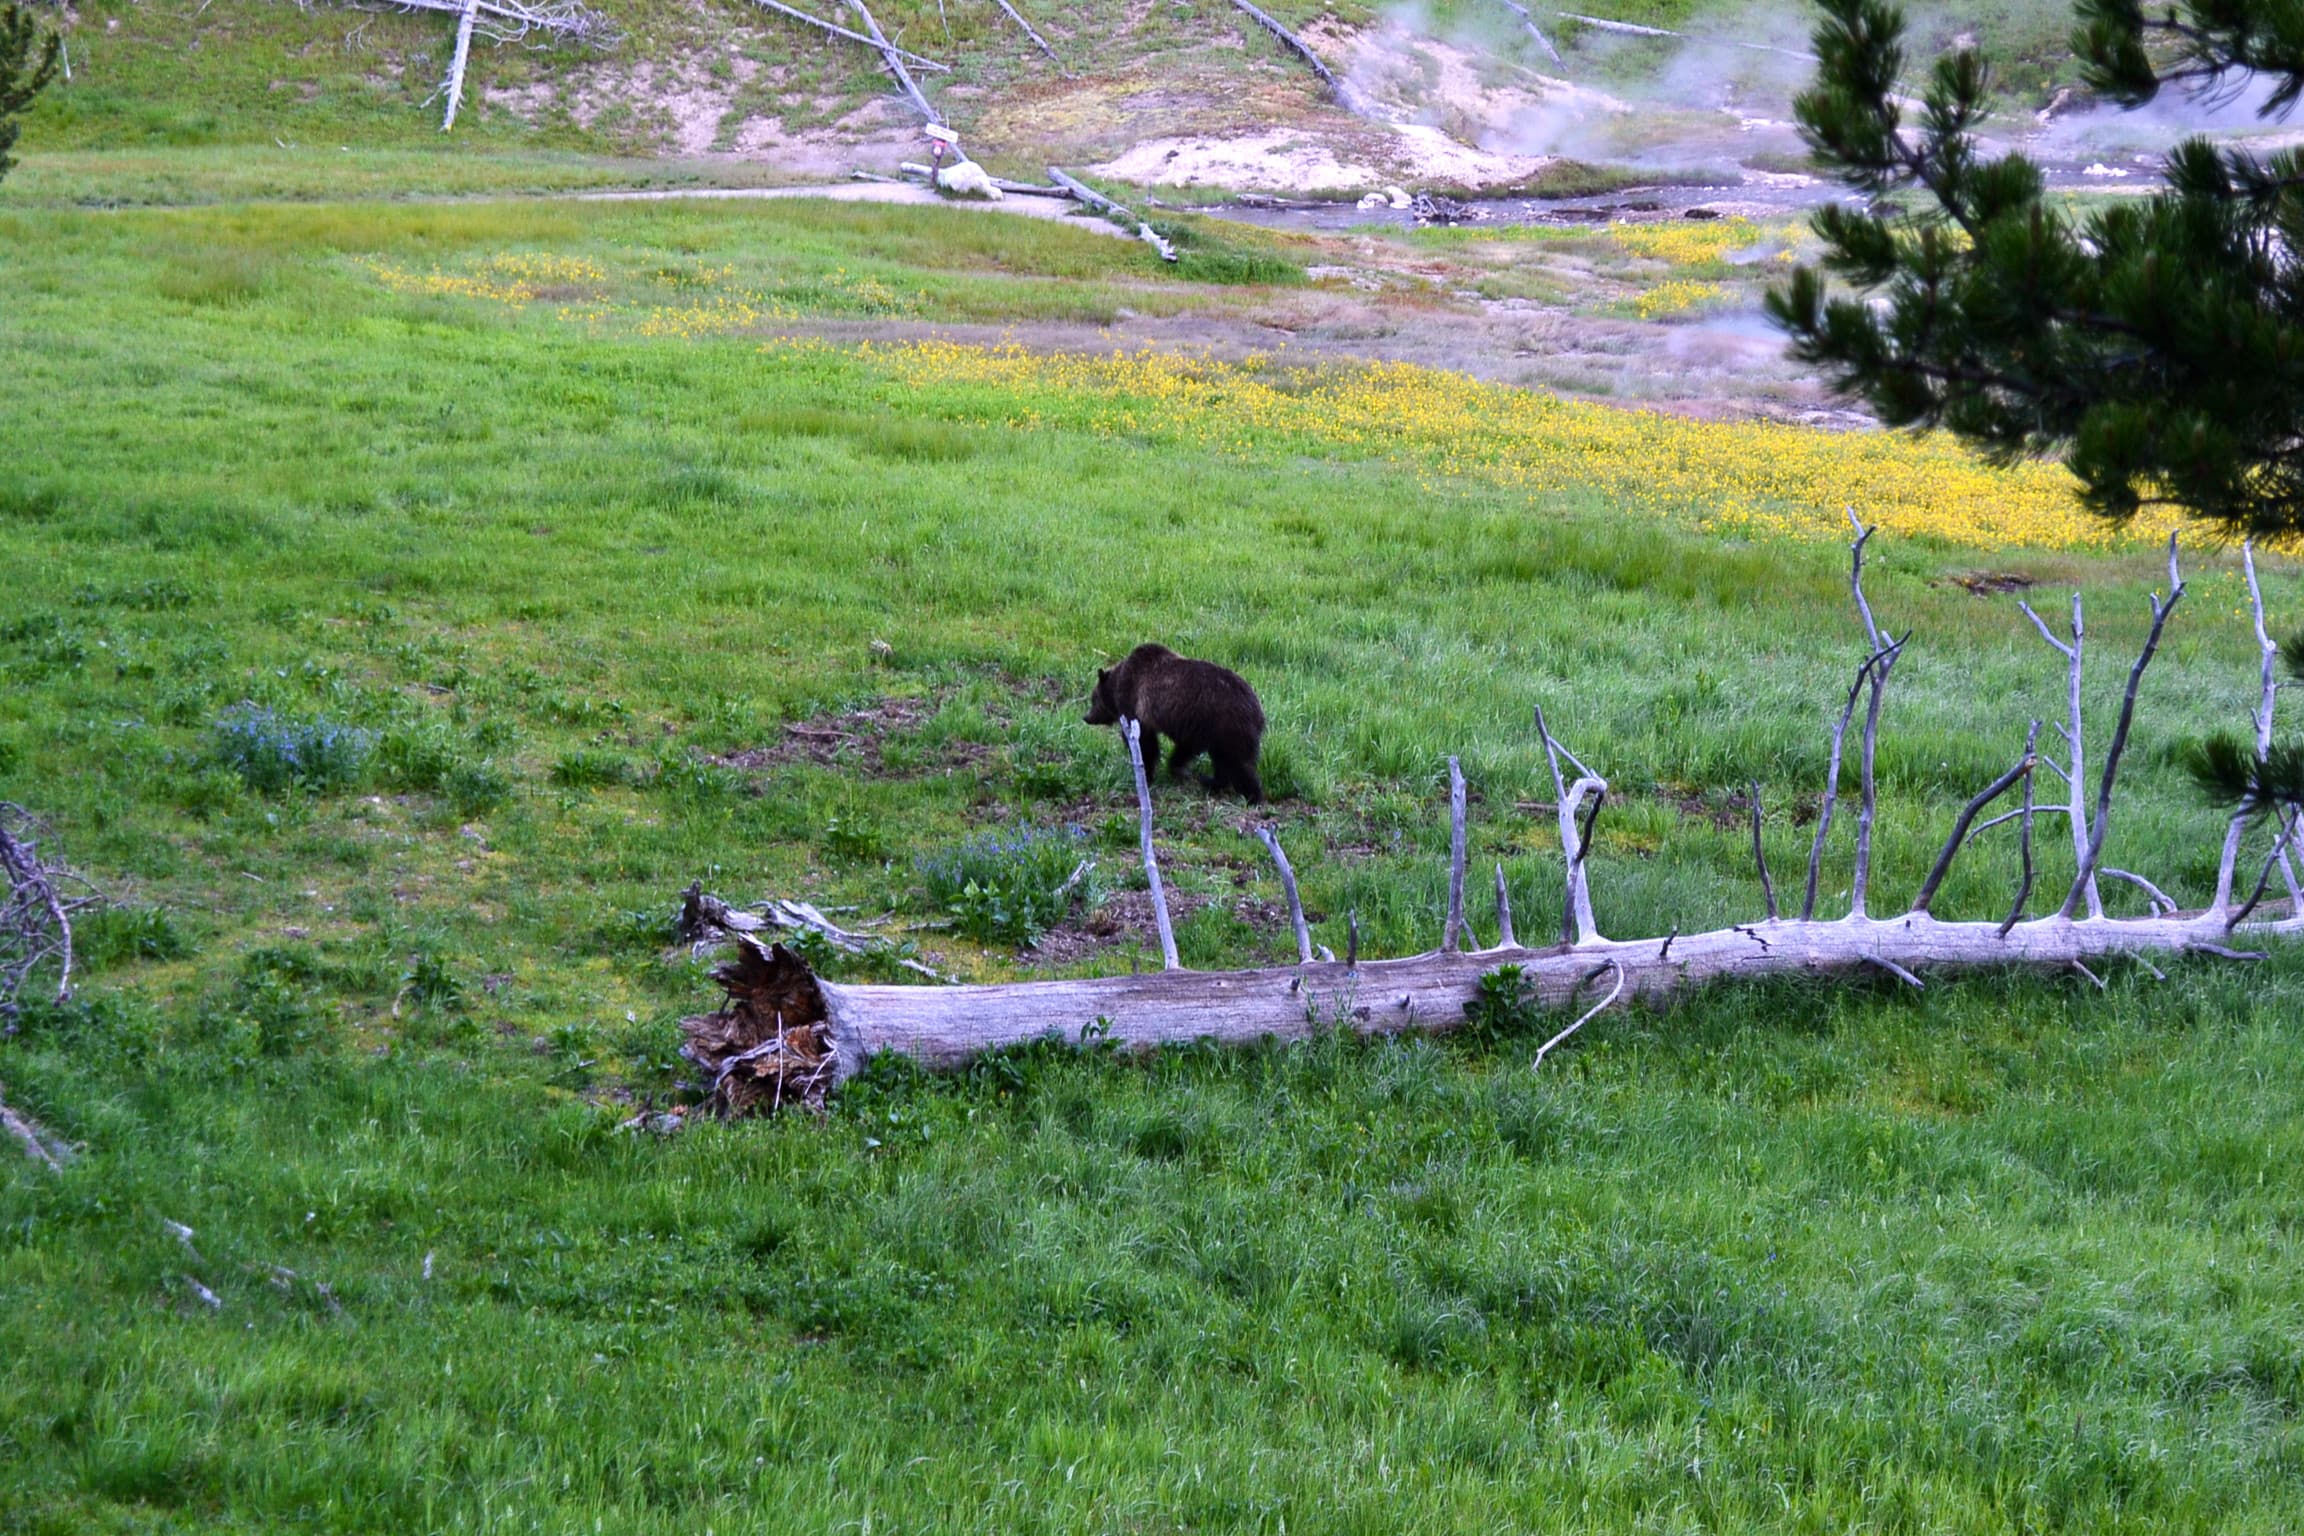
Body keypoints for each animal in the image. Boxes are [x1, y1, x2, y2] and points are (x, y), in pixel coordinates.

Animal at [1084, 643, 1266, 804]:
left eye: (1093, 698)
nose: (1087, 717)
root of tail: (1258, 712)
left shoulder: (1135, 704)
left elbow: (1145, 744)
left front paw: (1147, 774)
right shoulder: (1195, 727)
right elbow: (1184, 748)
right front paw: (1177, 769)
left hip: (1227, 725)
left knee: (1237, 763)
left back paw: (1252, 796)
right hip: (1221, 733)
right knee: (1223, 760)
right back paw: (1211, 782)